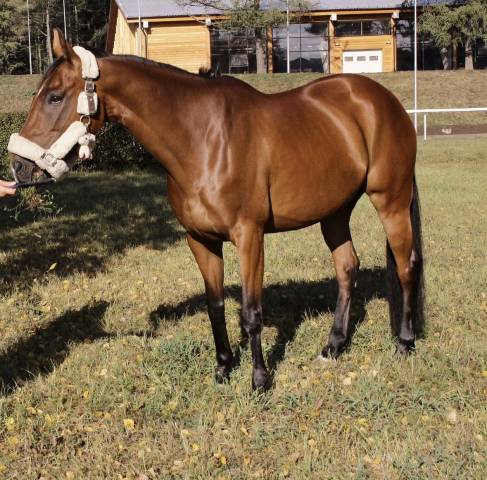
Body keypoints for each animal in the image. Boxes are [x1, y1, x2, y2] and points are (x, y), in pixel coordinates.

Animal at [9, 30, 426, 390]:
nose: (18, 167)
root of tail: (382, 100)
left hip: (390, 201)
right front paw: (224, 367)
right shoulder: (201, 240)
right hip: (335, 212)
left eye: (55, 97)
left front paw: (259, 380)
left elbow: (252, 312)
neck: (204, 139)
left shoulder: (249, 237)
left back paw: (405, 342)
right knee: (347, 268)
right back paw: (333, 347)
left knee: (406, 266)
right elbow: (216, 305)